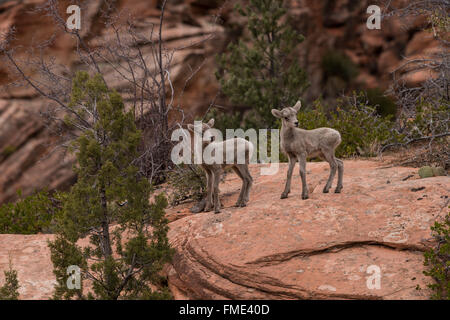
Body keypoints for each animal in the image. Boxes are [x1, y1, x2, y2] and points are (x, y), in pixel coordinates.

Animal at [188, 100, 342, 215]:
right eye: (286, 117)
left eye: (295, 114)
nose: (296, 122)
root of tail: (338, 135)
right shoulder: (208, 171)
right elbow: (289, 173)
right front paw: (207, 209)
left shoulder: (301, 154)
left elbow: (301, 172)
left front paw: (304, 196)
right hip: (323, 154)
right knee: (339, 163)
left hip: (326, 152)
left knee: (334, 165)